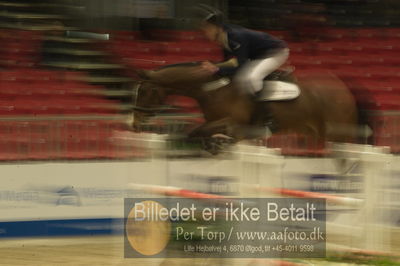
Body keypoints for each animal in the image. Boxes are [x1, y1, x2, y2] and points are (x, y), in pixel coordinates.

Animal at [129, 61, 360, 152]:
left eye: (145, 92)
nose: (135, 123)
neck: (211, 89)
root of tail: (343, 87)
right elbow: (199, 132)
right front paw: (214, 144)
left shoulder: (234, 123)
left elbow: (197, 131)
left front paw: (219, 143)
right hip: (316, 131)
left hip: (338, 131)